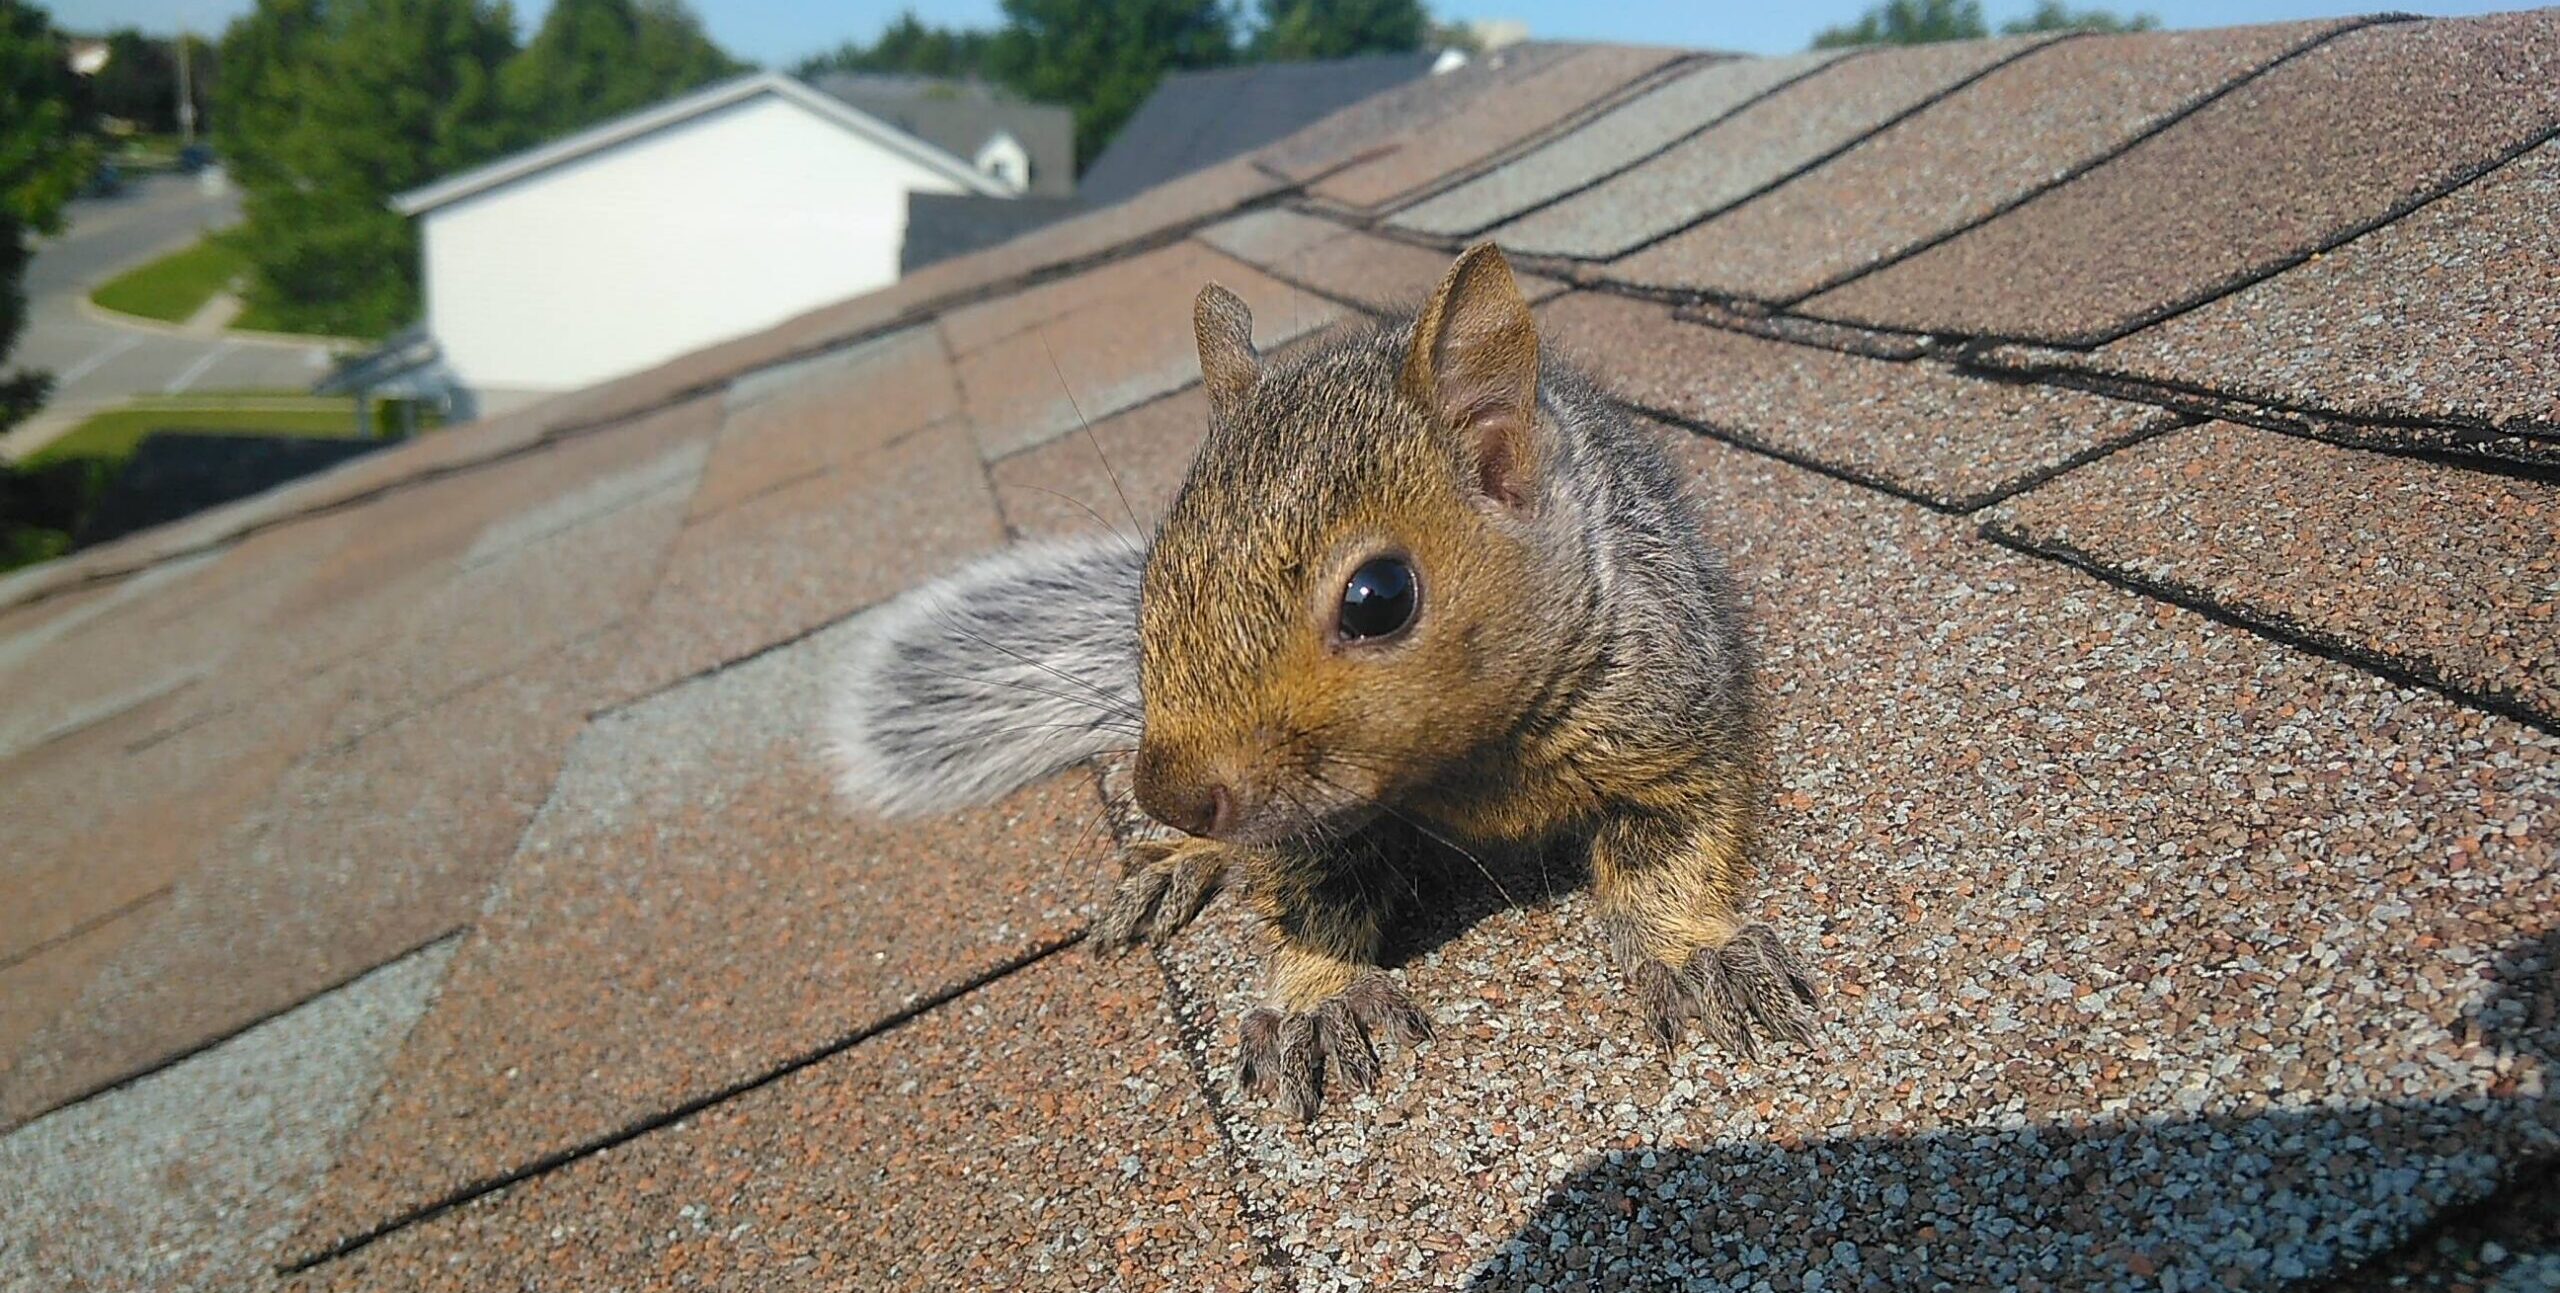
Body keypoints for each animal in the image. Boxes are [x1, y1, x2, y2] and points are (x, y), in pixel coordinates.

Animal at [828, 243, 1818, 1119]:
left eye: (1380, 597)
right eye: (1155, 577)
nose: (1169, 794)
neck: (1468, 760)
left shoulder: (1669, 713)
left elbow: (1670, 845)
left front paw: (1693, 951)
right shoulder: (1307, 822)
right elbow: (1312, 894)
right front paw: (1317, 996)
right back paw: (1179, 861)